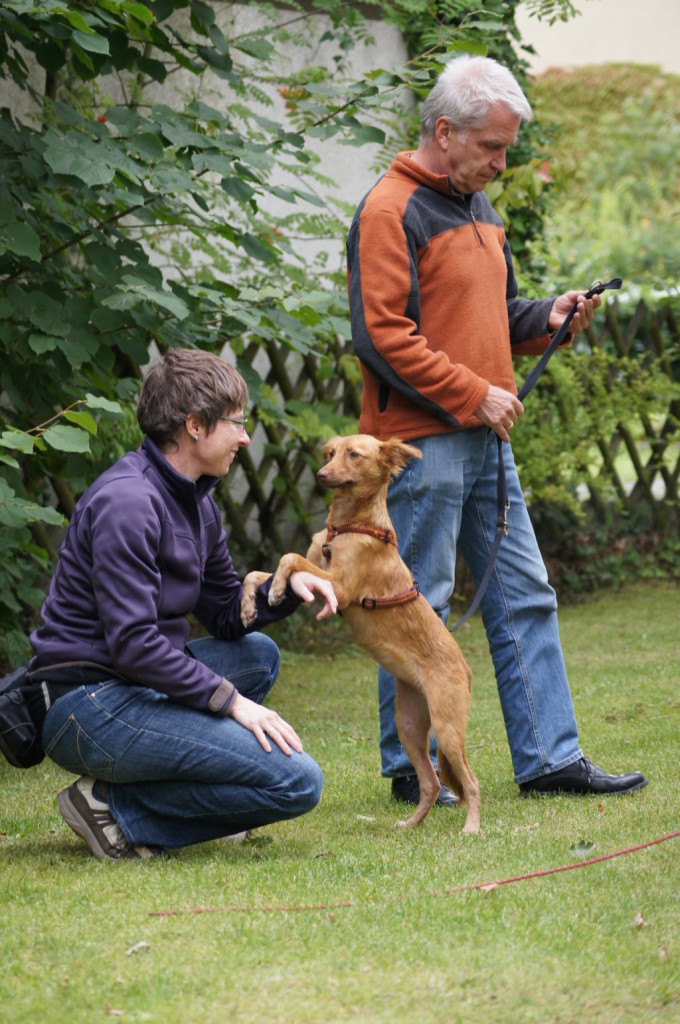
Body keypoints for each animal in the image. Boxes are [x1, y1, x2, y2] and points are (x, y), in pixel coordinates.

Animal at [241, 434, 480, 833]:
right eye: (332, 453)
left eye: (354, 455)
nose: (321, 474)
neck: (348, 525)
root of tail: (466, 669)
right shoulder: (314, 575)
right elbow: (260, 571)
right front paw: (250, 604)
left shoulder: (339, 586)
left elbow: (289, 558)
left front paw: (271, 592)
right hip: (409, 727)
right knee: (430, 783)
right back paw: (410, 825)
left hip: (447, 728)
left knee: (470, 782)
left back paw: (472, 828)